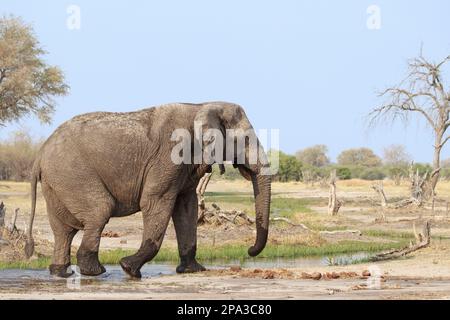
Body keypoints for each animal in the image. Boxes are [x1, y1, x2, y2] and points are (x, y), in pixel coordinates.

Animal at [24, 102, 270, 278]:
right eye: (245, 140)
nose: (249, 250)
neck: (203, 106)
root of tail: (40, 154)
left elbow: (186, 207)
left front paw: (193, 271)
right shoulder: (169, 156)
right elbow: (155, 201)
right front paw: (128, 269)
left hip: (57, 181)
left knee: (63, 229)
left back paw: (61, 273)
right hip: (72, 173)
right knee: (99, 211)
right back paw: (95, 272)